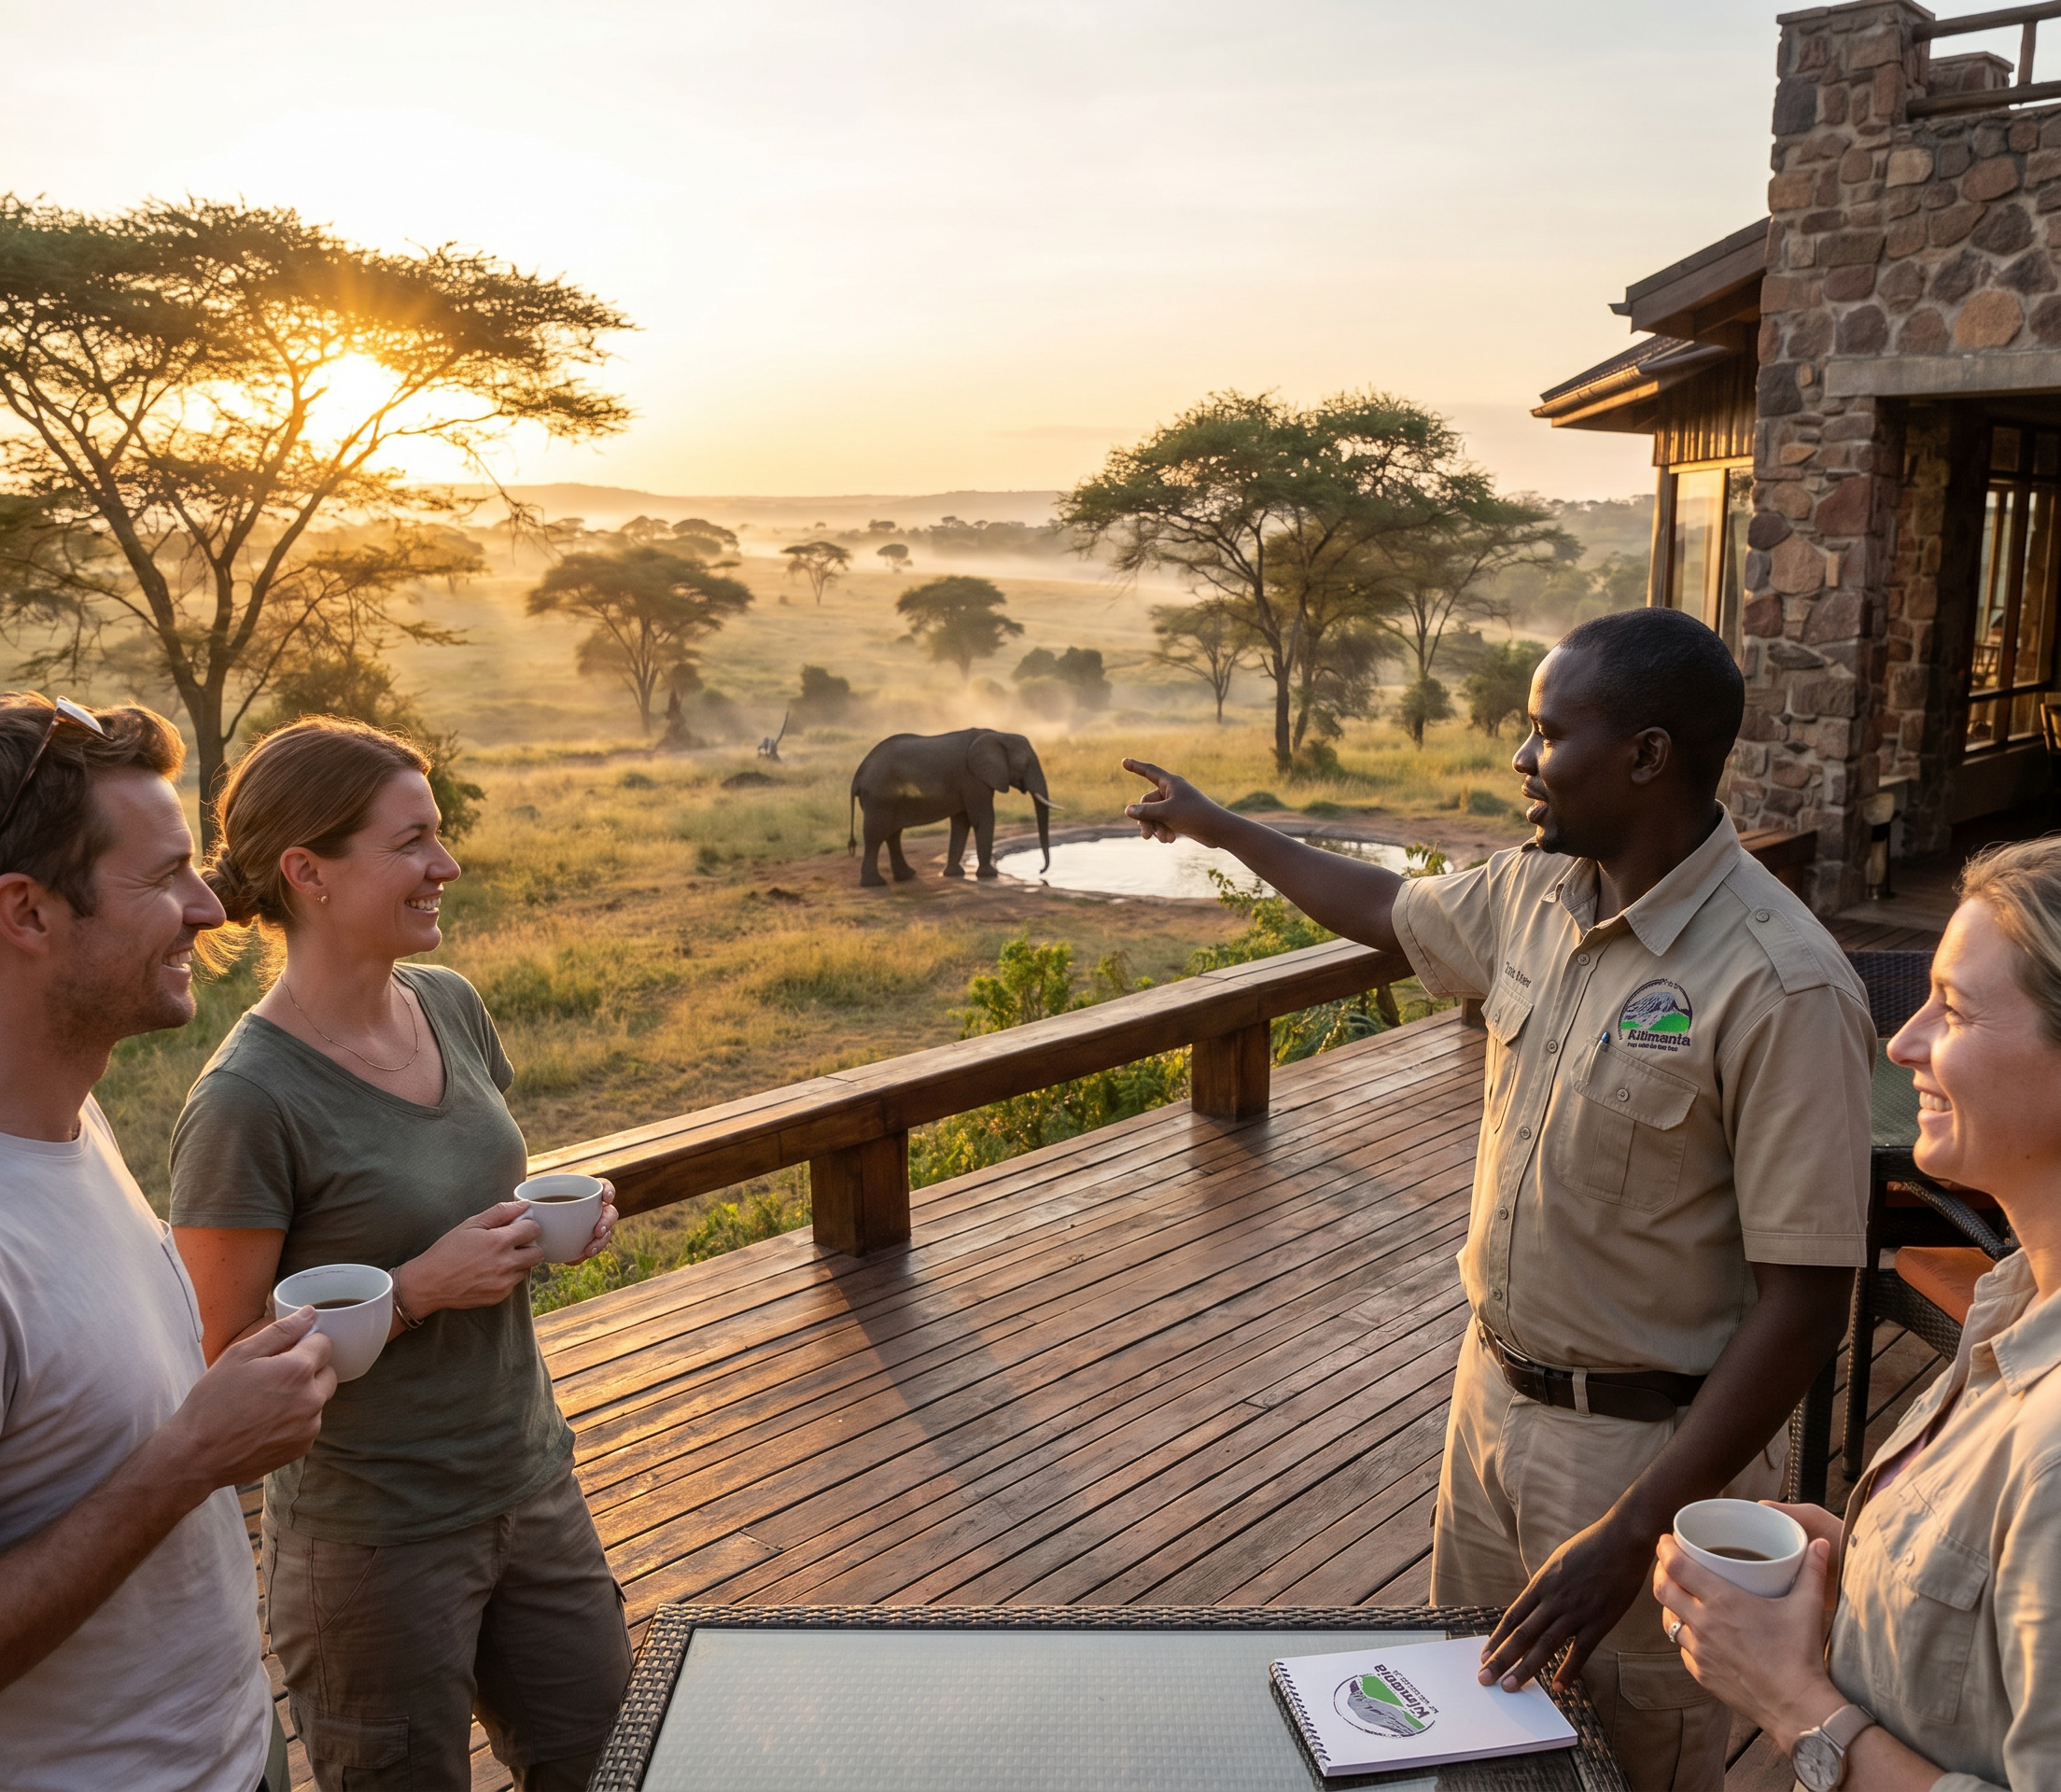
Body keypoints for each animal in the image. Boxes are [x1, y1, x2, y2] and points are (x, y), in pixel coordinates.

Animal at [849, 729, 1053, 887]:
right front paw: (989, 874)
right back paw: (875, 883)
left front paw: (954, 874)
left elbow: (961, 823)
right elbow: (982, 819)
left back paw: (906, 876)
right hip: (879, 798)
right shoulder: (972, 779)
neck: (998, 734)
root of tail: (858, 775)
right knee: (876, 835)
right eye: (1026, 764)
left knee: (893, 835)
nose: (1040, 871)